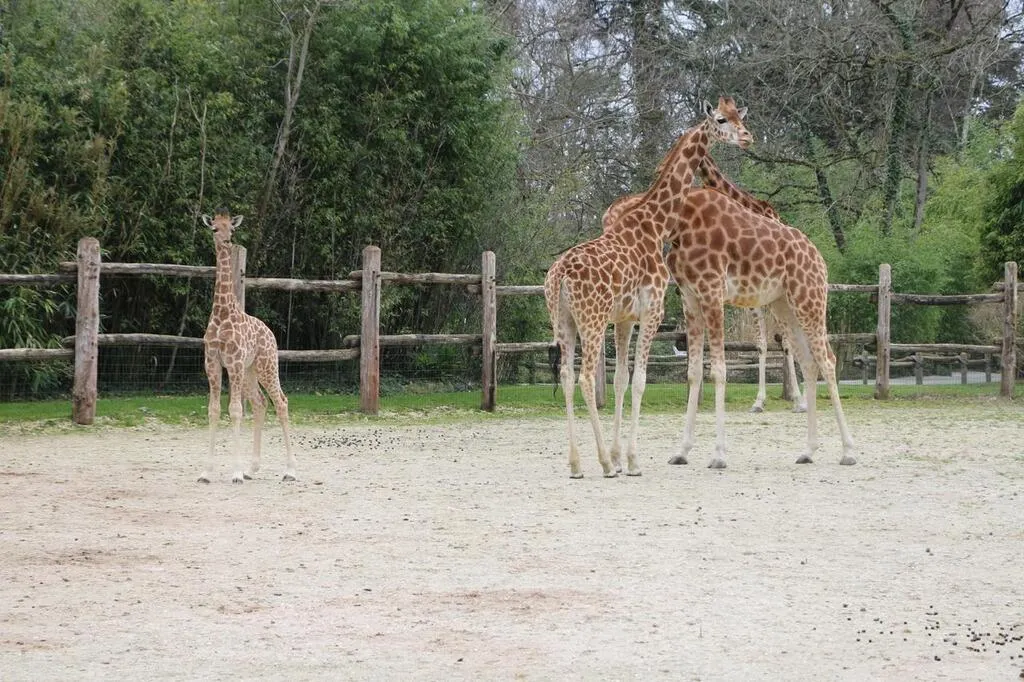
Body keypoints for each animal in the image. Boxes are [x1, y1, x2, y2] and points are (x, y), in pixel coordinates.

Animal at [199, 210, 297, 484]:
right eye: (214, 229)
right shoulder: (212, 364)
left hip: (266, 365)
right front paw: (206, 472)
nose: (227, 241)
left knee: (281, 402)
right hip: (250, 371)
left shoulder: (232, 363)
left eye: (231, 229)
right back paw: (253, 468)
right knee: (261, 403)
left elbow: (235, 410)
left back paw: (290, 470)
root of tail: (271, 333)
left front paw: (235, 473)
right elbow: (213, 410)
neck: (222, 314)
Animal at [545, 97, 752, 478]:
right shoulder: (652, 312)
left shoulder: (625, 319)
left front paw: (619, 455)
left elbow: (621, 380)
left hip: (563, 319)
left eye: (739, 117)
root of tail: (561, 275)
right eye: (721, 119)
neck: (655, 226)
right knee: (584, 378)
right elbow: (640, 379)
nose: (747, 137)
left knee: (566, 376)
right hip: (592, 320)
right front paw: (631, 461)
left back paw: (577, 464)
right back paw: (602, 464)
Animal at [602, 157, 806, 414]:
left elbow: (781, 343)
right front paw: (758, 402)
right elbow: (760, 344)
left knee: (795, 337)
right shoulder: (748, 297)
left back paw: (801, 399)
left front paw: (792, 400)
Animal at [663, 187, 856, 469]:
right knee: (809, 363)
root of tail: (819, 257)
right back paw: (808, 450)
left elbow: (719, 370)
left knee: (828, 360)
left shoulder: (712, 293)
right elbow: (693, 372)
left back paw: (848, 451)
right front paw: (682, 451)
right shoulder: (689, 297)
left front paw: (718, 455)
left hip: (809, 299)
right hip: (784, 305)